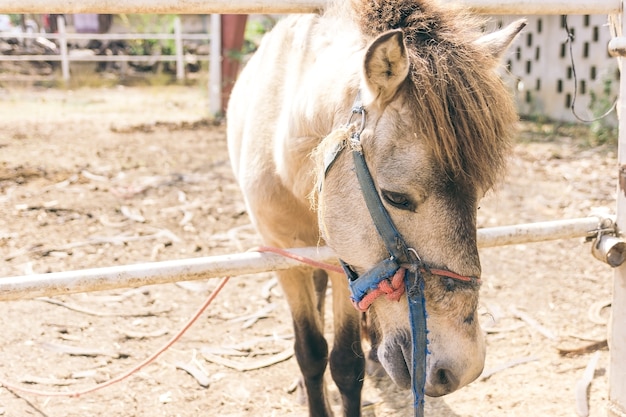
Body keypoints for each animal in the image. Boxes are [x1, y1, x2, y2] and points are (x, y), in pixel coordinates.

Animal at [227, 1, 524, 414]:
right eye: (396, 197)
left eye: (478, 197)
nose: (463, 366)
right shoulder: (284, 256)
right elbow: (311, 352)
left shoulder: (347, 266)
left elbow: (346, 364)